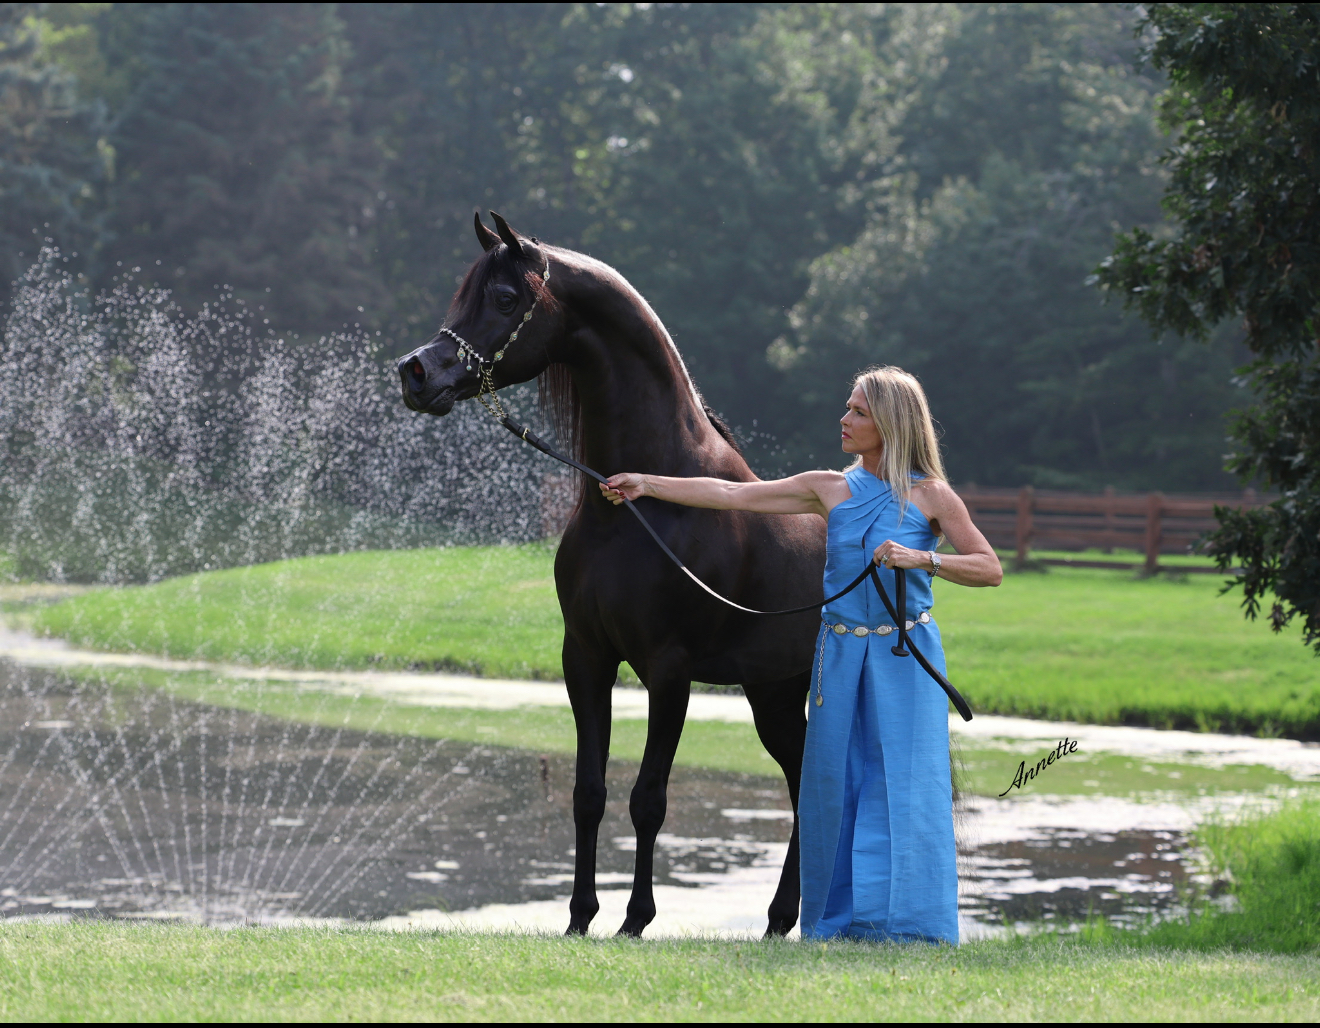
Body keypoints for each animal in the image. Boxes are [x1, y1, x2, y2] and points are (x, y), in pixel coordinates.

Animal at [397, 211, 825, 937]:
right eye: (462, 294)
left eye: (505, 298)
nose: (415, 372)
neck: (636, 502)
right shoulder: (587, 656)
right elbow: (588, 792)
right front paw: (579, 917)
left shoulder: (669, 670)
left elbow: (648, 798)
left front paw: (635, 920)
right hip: (771, 691)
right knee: (801, 779)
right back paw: (778, 918)